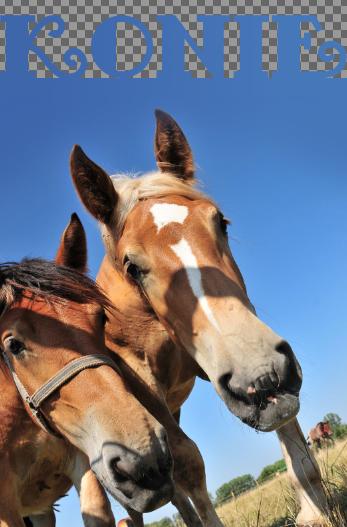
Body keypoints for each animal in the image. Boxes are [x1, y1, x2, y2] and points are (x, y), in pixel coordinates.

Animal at [70, 110, 328, 527]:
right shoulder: (142, 384)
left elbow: (289, 429)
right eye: (132, 266)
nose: (262, 377)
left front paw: (315, 510)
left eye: (220, 221)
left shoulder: (219, 355)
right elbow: (189, 464)